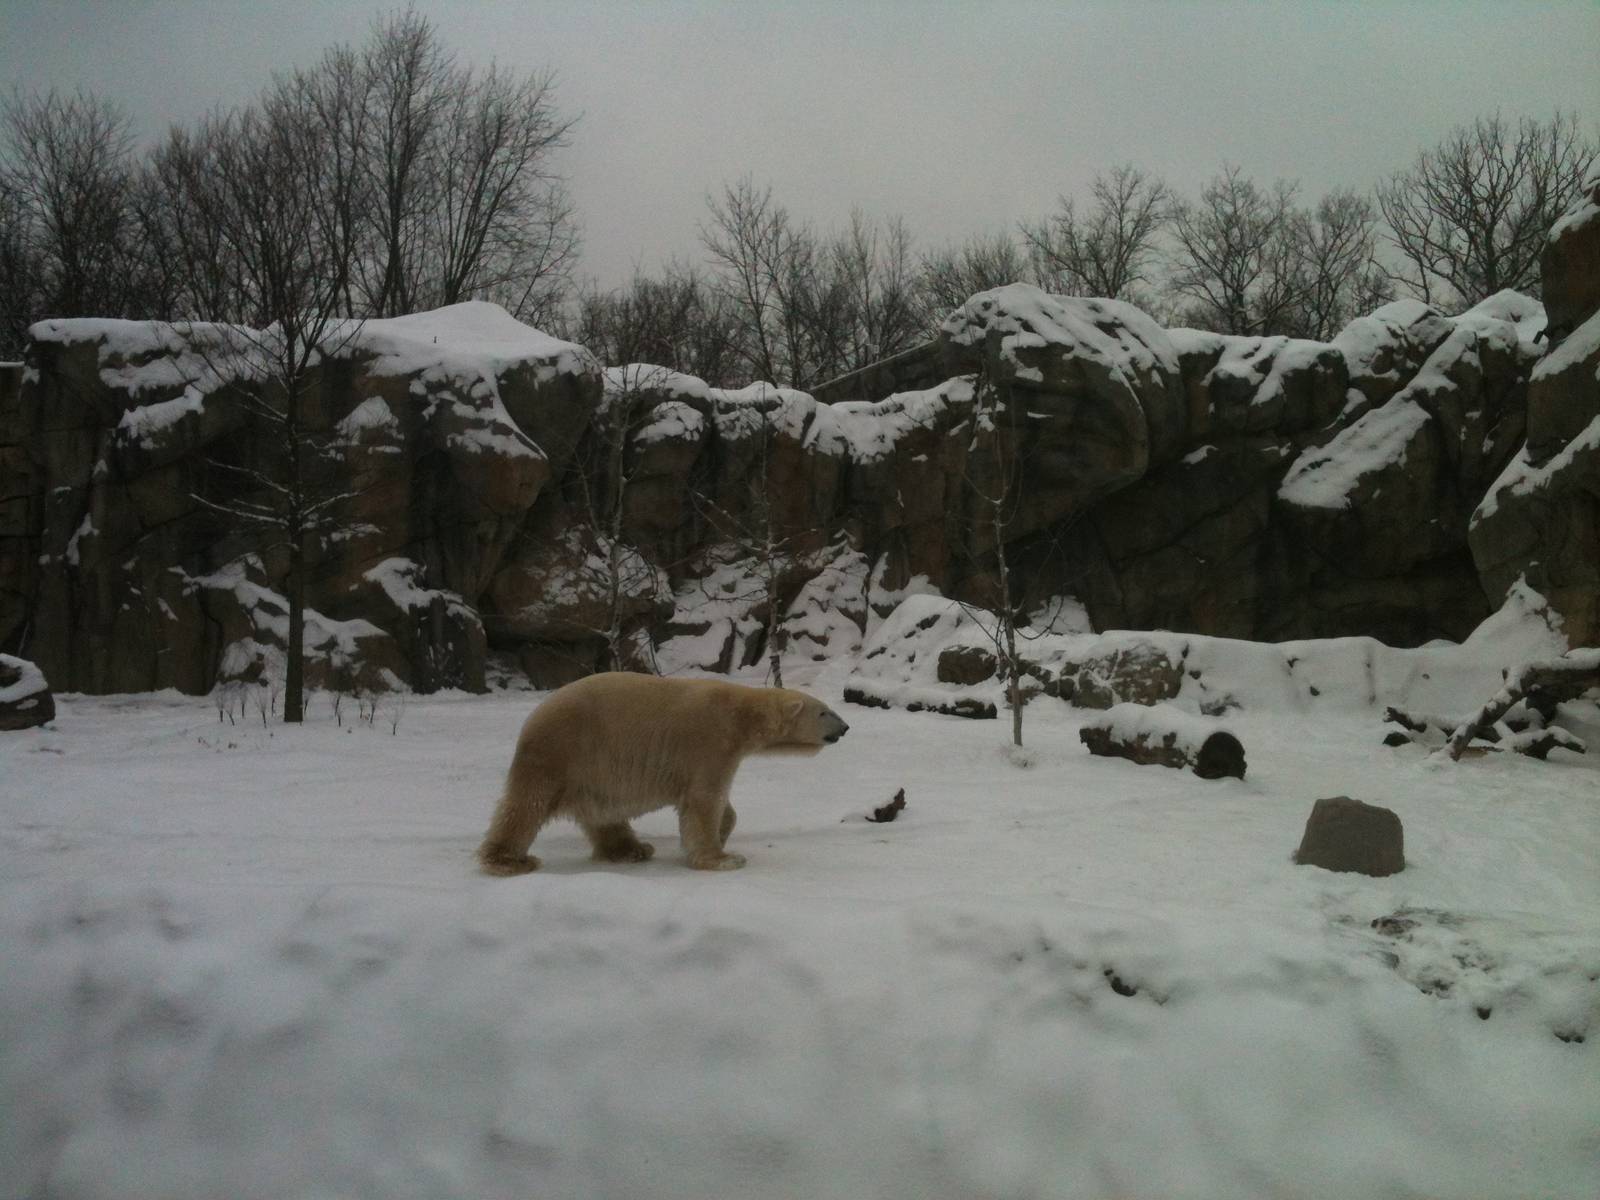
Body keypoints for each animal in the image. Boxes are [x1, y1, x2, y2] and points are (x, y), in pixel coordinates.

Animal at [478, 672, 850, 874]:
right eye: (824, 712)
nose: (845, 727)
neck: (740, 712)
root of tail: (533, 718)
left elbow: (719, 804)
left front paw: (723, 835)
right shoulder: (710, 740)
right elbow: (704, 800)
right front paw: (723, 857)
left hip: (590, 771)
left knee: (602, 813)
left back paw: (631, 850)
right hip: (560, 750)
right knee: (526, 805)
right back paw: (507, 860)